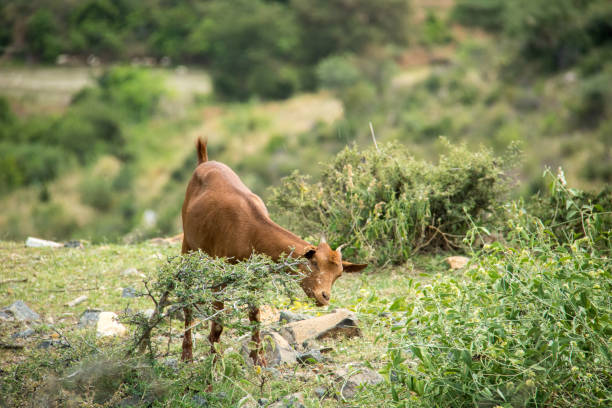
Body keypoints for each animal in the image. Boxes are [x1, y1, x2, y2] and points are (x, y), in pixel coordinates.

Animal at [179, 139, 366, 362]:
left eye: (338, 274)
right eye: (313, 263)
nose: (324, 297)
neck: (249, 229)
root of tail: (203, 162)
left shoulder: (254, 277)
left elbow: (255, 316)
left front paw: (257, 359)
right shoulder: (221, 273)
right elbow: (218, 324)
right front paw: (215, 362)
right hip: (187, 245)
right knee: (185, 298)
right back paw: (186, 355)